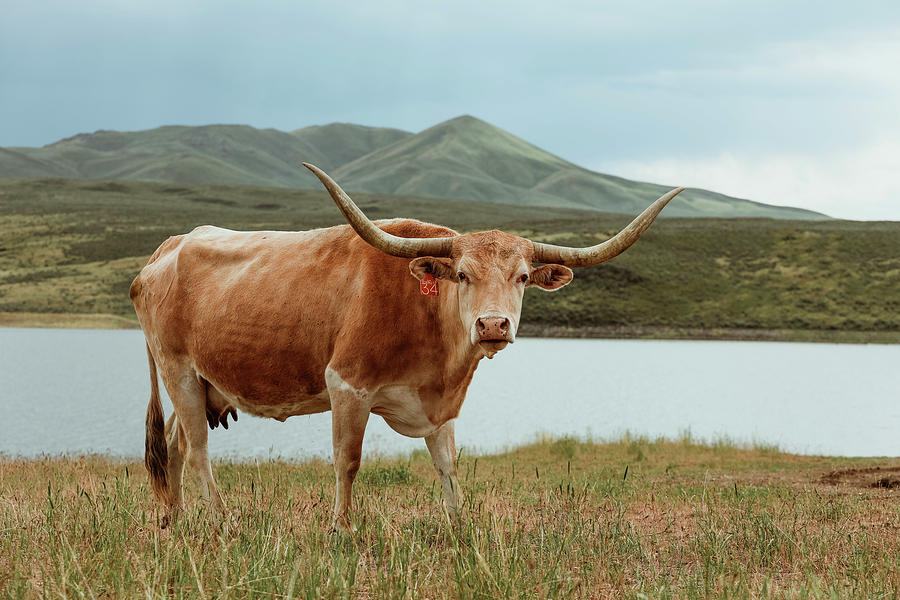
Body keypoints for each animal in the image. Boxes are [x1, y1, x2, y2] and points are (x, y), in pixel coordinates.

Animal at [132, 163, 684, 528]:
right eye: (462, 274)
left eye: (523, 277)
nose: (492, 325)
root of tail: (169, 248)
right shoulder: (347, 386)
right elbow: (348, 461)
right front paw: (341, 530)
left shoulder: (441, 407)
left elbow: (448, 466)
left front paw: (462, 530)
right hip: (179, 371)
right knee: (197, 451)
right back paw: (222, 523)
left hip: (203, 385)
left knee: (175, 447)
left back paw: (173, 521)